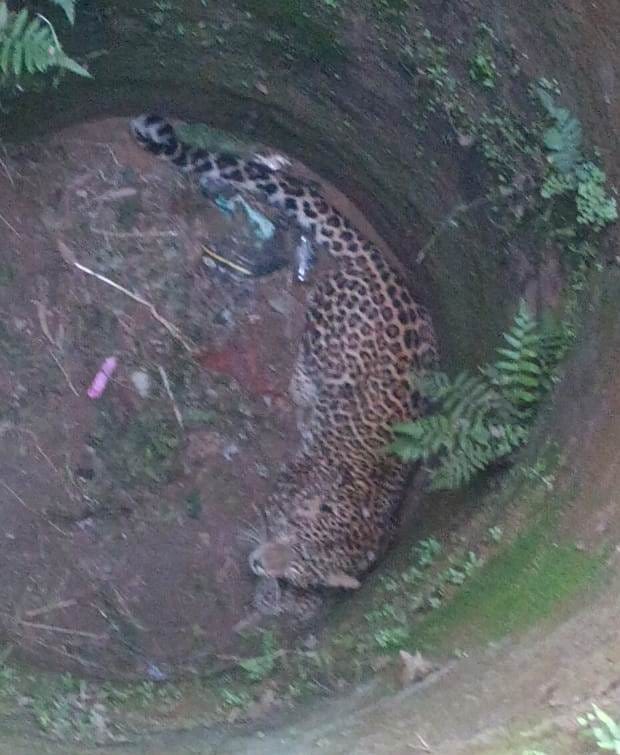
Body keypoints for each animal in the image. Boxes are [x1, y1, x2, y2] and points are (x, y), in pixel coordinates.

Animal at [130, 113, 438, 618]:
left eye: (298, 569)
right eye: (289, 534)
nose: (259, 564)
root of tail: (382, 268)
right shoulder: (288, 483)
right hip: (321, 331)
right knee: (307, 364)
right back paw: (303, 396)